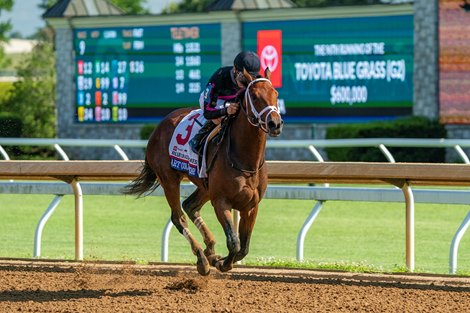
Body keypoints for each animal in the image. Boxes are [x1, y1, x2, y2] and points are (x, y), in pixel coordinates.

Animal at [123, 67, 282, 272]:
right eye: (254, 96)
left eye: (275, 94)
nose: (275, 123)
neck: (246, 161)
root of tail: (159, 127)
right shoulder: (221, 202)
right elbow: (234, 242)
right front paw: (221, 263)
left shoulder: (251, 205)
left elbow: (243, 248)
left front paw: (218, 258)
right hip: (169, 180)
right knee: (178, 217)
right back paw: (202, 258)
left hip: (205, 186)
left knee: (190, 205)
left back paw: (210, 249)